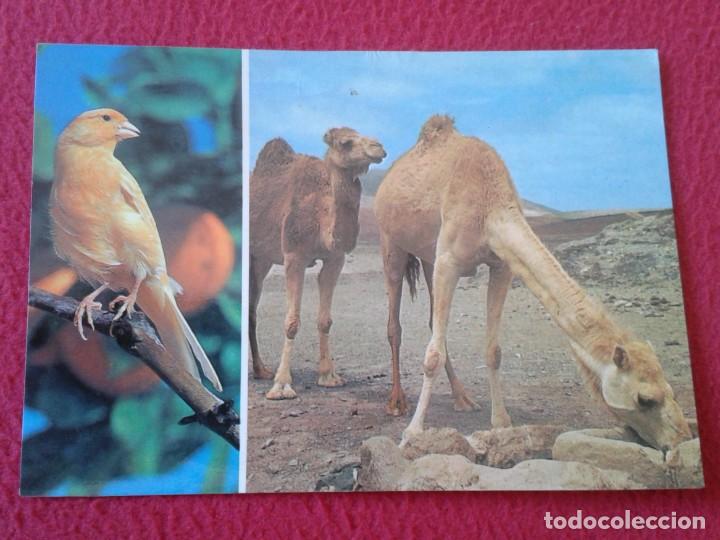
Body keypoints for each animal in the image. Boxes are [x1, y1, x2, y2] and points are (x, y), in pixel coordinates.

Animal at [250, 128, 386, 400]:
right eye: (345, 142)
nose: (379, 147)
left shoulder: (335, 259)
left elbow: (325, 320)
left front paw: (329, 376)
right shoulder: (294, 256)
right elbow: (291, 322)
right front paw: (281, 386)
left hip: (263, 259)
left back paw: (261, 370)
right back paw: (262, 371)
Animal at [374, 115, 691, 451]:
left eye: (670, 388)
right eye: (645, 399)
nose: (681, 437)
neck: (489, 204)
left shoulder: (501, 266)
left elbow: (493, 351)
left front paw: (502, 422)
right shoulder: (449, 261)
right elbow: (432, 355)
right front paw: (412, 433)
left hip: (428, 256)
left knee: (435, 325)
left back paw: (463, 399)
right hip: (392, 243)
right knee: (395, 323)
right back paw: (396, 403)